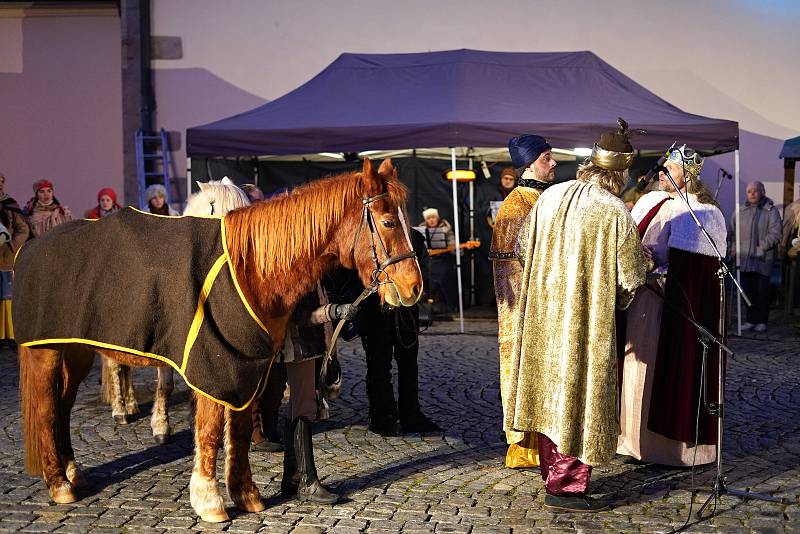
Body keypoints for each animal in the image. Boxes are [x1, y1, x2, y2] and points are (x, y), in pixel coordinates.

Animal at [15, 159, 422, 524]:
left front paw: (247, 494)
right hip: (46, 352)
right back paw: (58, 483)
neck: (248, 270)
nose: (413, 288)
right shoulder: (211, 366)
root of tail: (31, 249)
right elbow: (211, 429)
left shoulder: (245, 366)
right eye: (388, 222)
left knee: (63, 407)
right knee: (46, 409)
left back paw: (72, 472)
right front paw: (209, 500)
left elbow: (238, 432)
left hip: (75, 351)